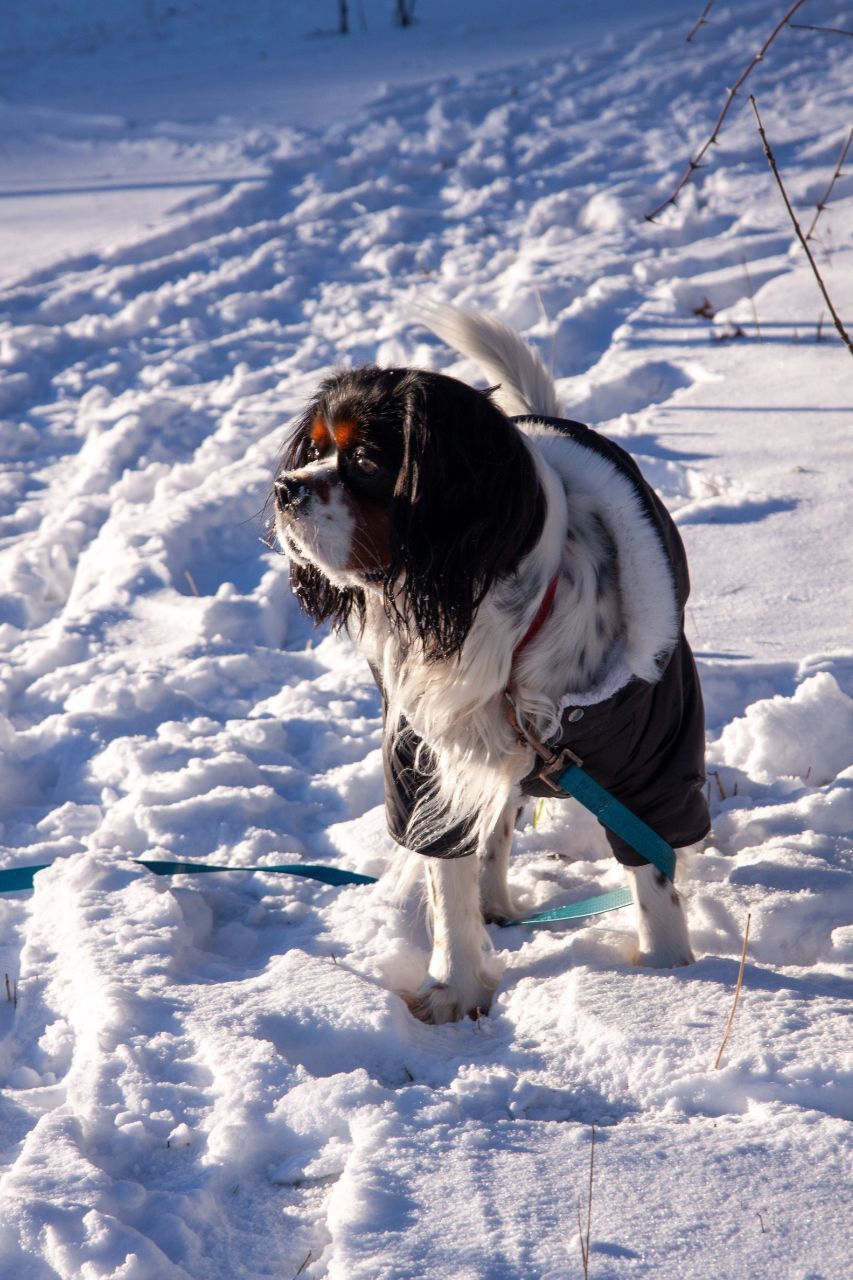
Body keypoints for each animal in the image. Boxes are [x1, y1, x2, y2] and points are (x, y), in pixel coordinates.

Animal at [274, 307, 712, 1018]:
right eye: (314, 452)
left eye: (364, 461)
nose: (285, 489)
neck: (493, 626)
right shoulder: (426, 759)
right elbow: (448, 880)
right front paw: (453, 991)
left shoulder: (650, 761)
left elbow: (654, 876)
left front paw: (668, 977)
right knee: (496, 831)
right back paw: (496, 906)